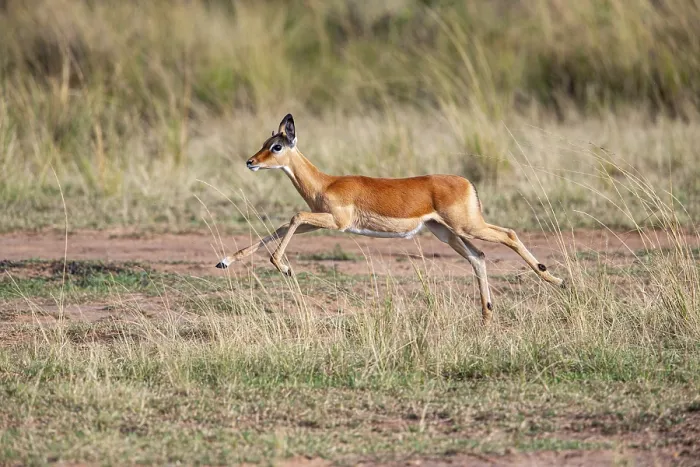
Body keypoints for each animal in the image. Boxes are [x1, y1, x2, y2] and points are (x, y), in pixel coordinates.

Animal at [216, 114, 564, 322]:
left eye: (276, 146)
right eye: (264, 143)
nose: (250, 162)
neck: (325, 183)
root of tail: (468, 183)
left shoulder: (337, 222)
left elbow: (293, 216)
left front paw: (285, 267)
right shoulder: (317, 221)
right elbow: (278, 227)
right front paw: (225, 261)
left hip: (467, 225)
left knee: (509, 234)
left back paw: (557, 281)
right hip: (445, 232)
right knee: (478, 257)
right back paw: (487, 315)